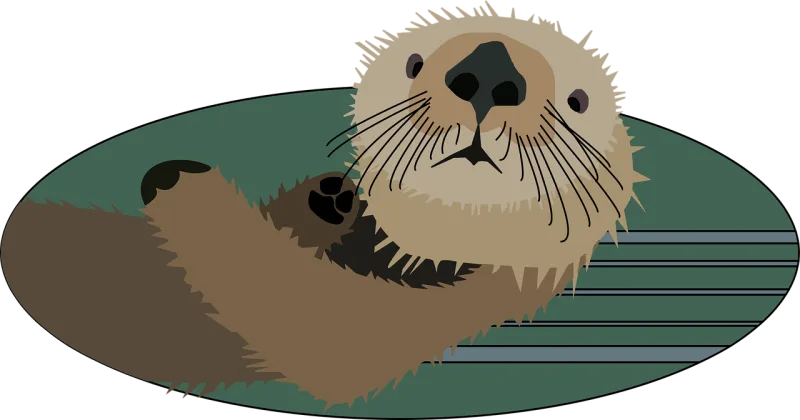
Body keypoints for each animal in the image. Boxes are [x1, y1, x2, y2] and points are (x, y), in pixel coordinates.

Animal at [1, 3, 647, 409]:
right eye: (414, 62)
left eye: (579, 100)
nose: (488, 72)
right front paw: (330, 197)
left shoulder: (448, 302)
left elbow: (301, 318)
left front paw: (176, 179)